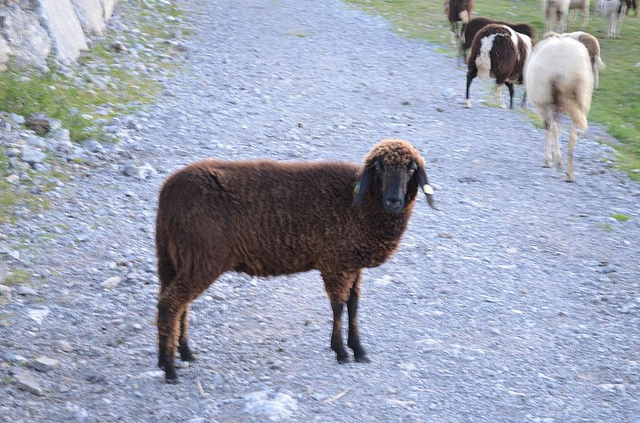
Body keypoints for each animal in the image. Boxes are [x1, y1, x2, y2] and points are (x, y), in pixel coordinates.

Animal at [155, 139, 436, 383]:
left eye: (412, 168)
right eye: (378, 168)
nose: (393, 201)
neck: (362, 204)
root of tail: (168, 191)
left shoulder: (352, 264)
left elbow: (354, 304)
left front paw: (358, 349)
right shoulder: (336, 263)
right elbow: (338, 305)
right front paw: (341, 351)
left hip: (173, 257)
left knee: (175, 303)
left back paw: (181, 354)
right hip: (202, 257)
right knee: (171, 303)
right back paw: (170, 368)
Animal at [524, 36, 594, 182]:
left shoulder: (544, 106)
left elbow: (551, 129)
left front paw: (550, 160)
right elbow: (556, 129)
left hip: (546, 96)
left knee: (553, 128)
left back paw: (559, 165)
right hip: (582, 96)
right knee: (573, 135)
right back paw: (570, 174)